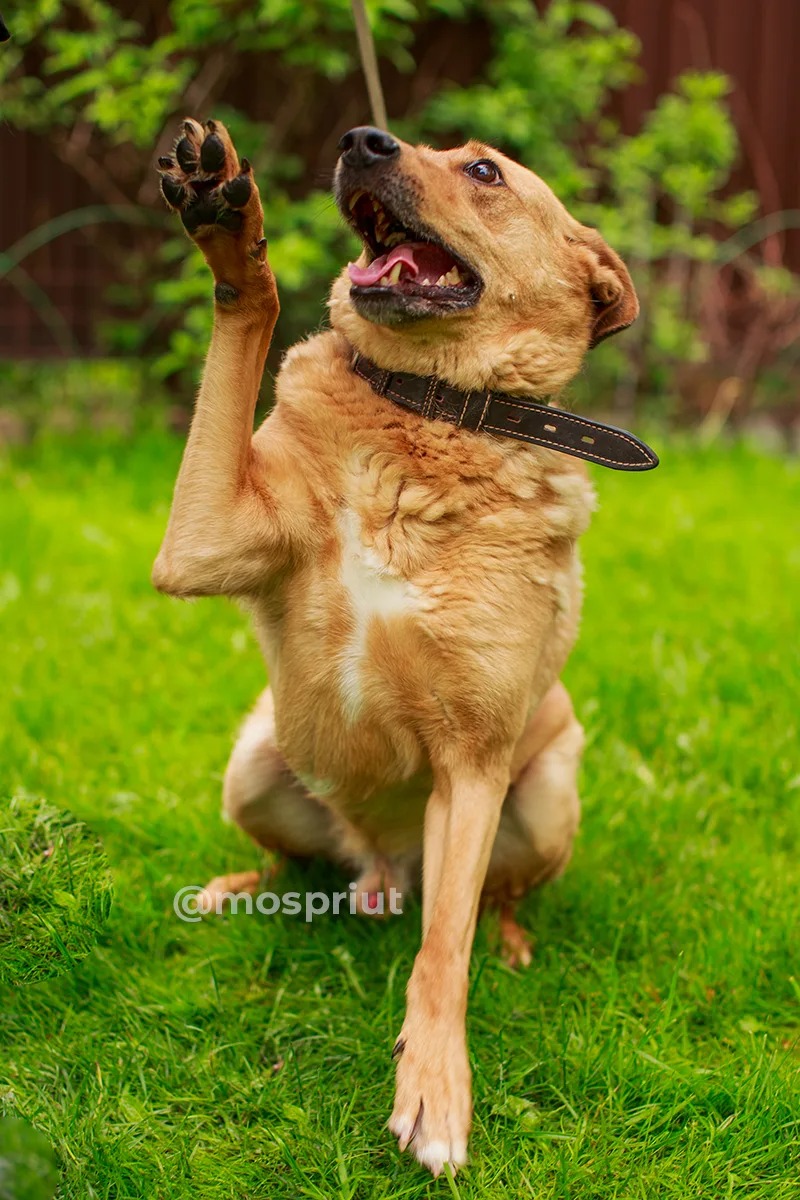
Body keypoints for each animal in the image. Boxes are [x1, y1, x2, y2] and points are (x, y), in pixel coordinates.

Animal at [153, 119, 642, 1171]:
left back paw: (511, 940)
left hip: (547, 793)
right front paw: (230, 231)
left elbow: (441, 950)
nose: (362, 140)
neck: (429, 410)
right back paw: (238, 887)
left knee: (489, 900)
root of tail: (382, 871)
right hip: (254, 760)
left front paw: (435, 1090)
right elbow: (247, 318)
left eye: (484, 170)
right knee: (295, 866)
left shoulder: (474, 762)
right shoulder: (202, 540)